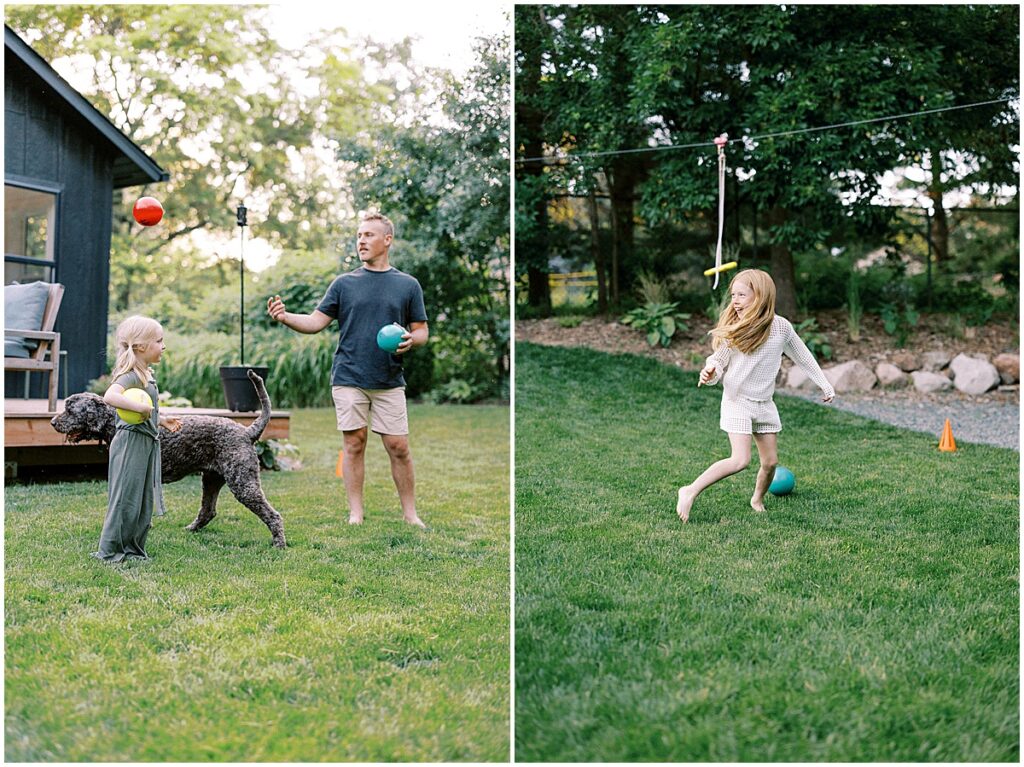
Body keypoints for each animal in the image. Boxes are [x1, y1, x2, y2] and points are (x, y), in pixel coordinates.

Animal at [50, 368, 284, 544]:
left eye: (70, 410)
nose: (52, 422)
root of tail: (247, 431)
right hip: (211, 480)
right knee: (208, 511)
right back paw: (191, 529)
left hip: (243, 484)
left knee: (273, 515)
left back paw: (279, 543)